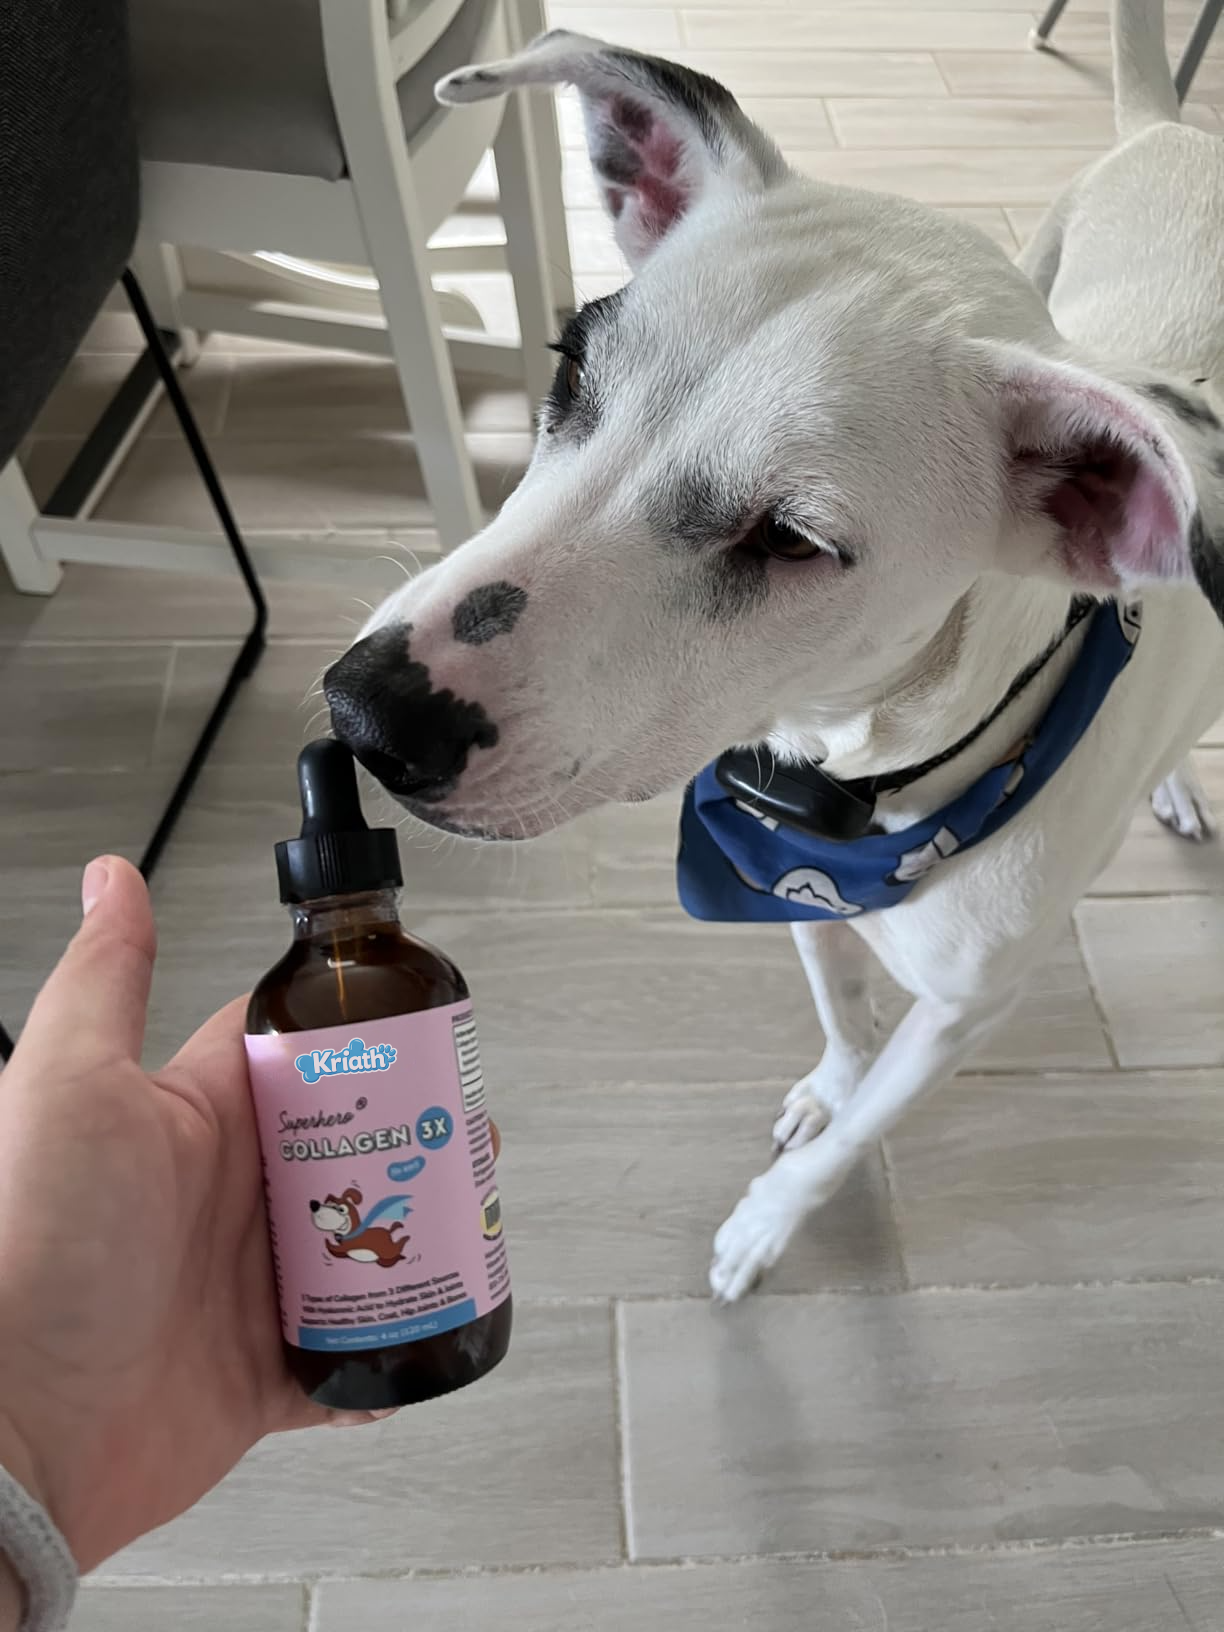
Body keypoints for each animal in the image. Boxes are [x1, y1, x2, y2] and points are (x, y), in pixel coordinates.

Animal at [324, 0, 1224, 1302]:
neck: (881, 783)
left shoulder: (965, 1015)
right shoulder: (783, 871)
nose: (369, 716)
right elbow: (842, 1019)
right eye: (571, 367)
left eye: (792, 540)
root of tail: (1180, 132)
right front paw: (825, 1087)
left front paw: (766, 1222)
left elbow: (855, 1135)